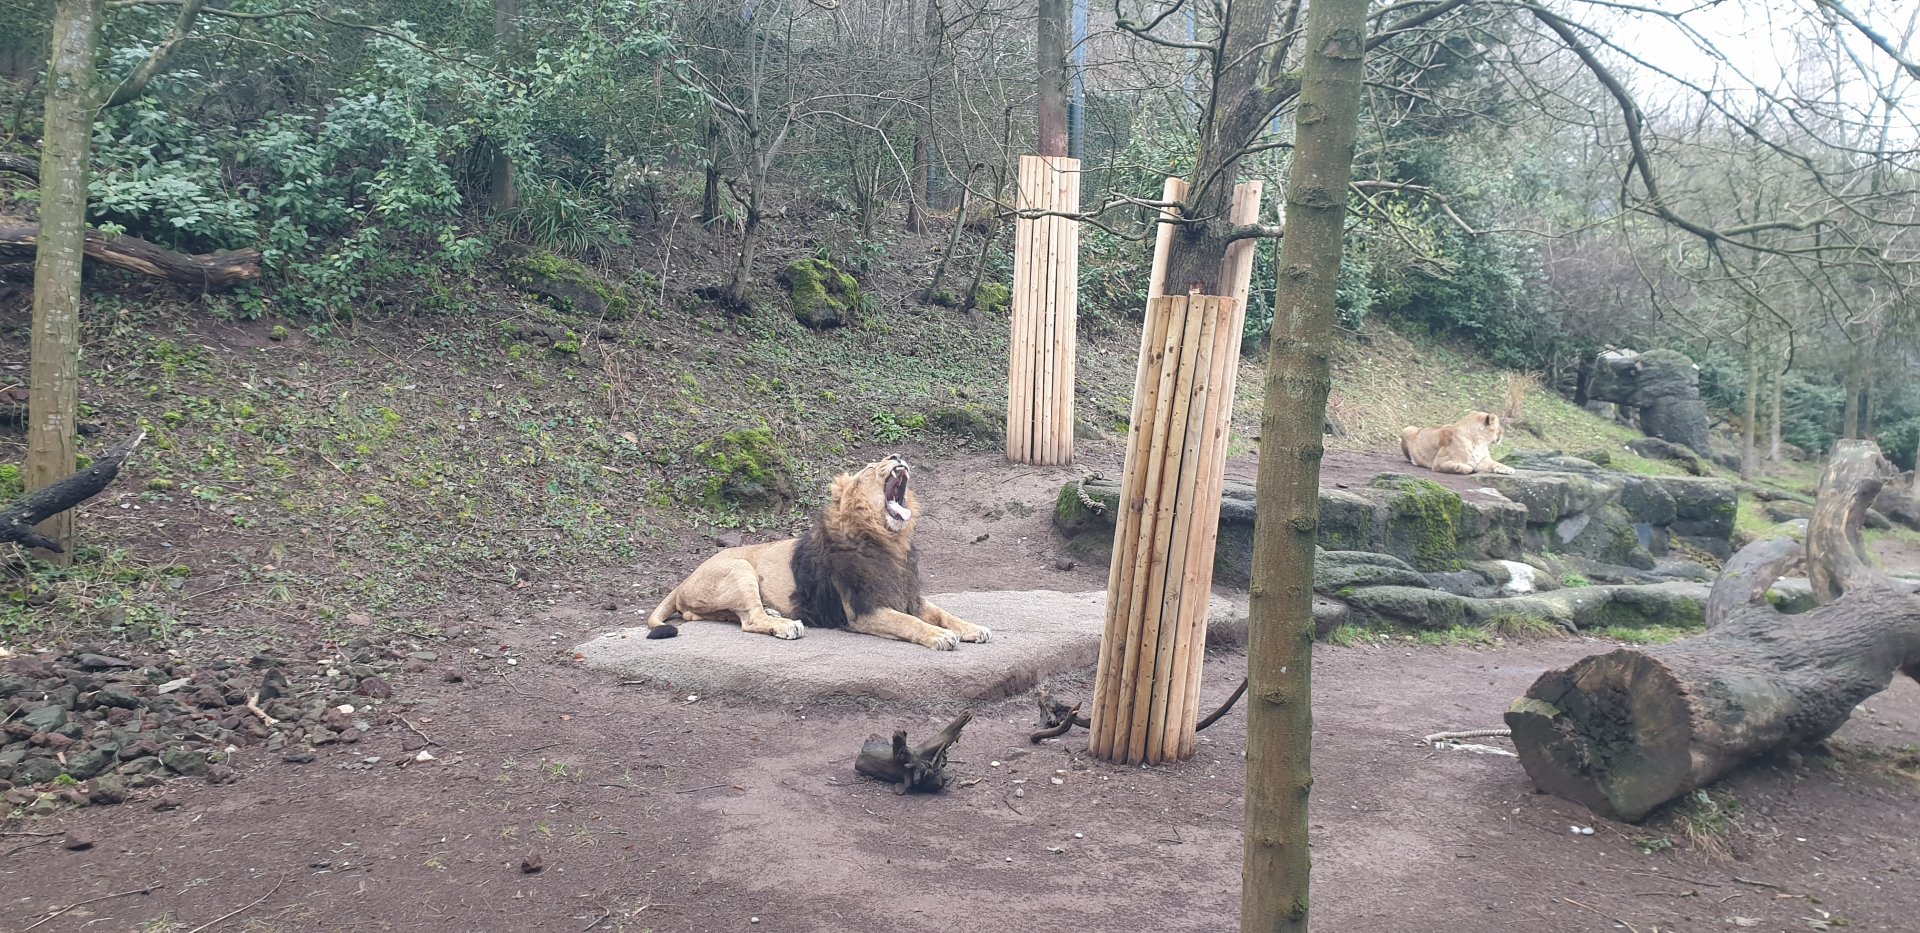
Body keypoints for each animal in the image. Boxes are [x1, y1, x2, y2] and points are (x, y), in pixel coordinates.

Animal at [642, 454, 991, 651]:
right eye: (870, 466)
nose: (896, 455)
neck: (890, 542)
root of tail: (683, 582)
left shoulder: (909, 596)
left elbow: (944, 614)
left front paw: (974, 628)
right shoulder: (864, 611)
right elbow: (910, 623)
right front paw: (940, 636)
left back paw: (775, 614)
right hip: (740, 567)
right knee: (749, 619)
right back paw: (785, 625)